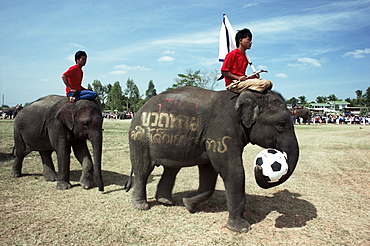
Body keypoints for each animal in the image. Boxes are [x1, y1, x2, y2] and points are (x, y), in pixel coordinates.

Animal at [125, 87, 300, 234]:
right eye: (281, 124)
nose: (259, 168)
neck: (250, 93)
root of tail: (139, 109)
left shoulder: (213, 139)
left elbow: (209, 173)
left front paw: (188, 205)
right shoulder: (222, 133)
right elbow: (232, 170)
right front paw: (241, 229)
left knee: (171, 169)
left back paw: (166, 201)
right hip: (139, 137)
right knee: (143, 169)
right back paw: (142, 206)